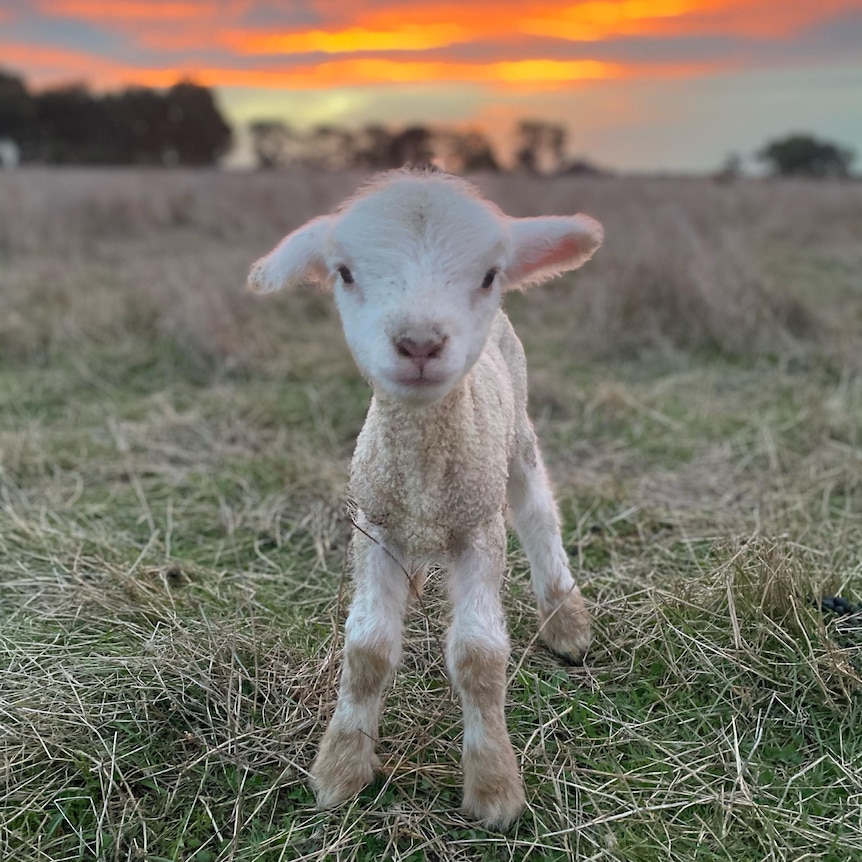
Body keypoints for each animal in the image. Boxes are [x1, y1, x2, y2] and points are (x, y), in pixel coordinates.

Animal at [246, 165, 604, 832]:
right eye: (345, 272)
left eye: (488, 274)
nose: (418, 343)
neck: (423, 473)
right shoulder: (375, 526)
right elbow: (366, 649)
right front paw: (341, 767)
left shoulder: (478, 529)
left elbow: (479, 657)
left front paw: (493, 786)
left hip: (515, 437)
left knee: (538, 512)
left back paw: (565, 619)